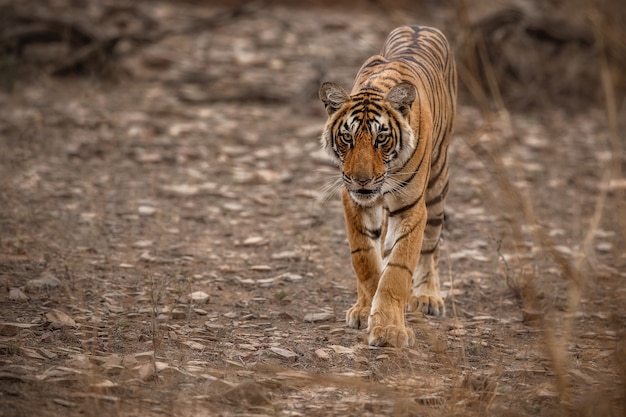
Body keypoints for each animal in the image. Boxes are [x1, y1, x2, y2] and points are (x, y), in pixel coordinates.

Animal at [316, 24, 454, 346]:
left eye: (381, 138)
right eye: (347, 137)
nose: (362, 179)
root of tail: (420, 26)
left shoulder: (411, 207)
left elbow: (398, 270)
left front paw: (390, 328)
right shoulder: (353, 200)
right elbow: (365, 259)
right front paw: (365, 309)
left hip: (437, 183)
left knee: (432, 245)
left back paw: (428, 296)